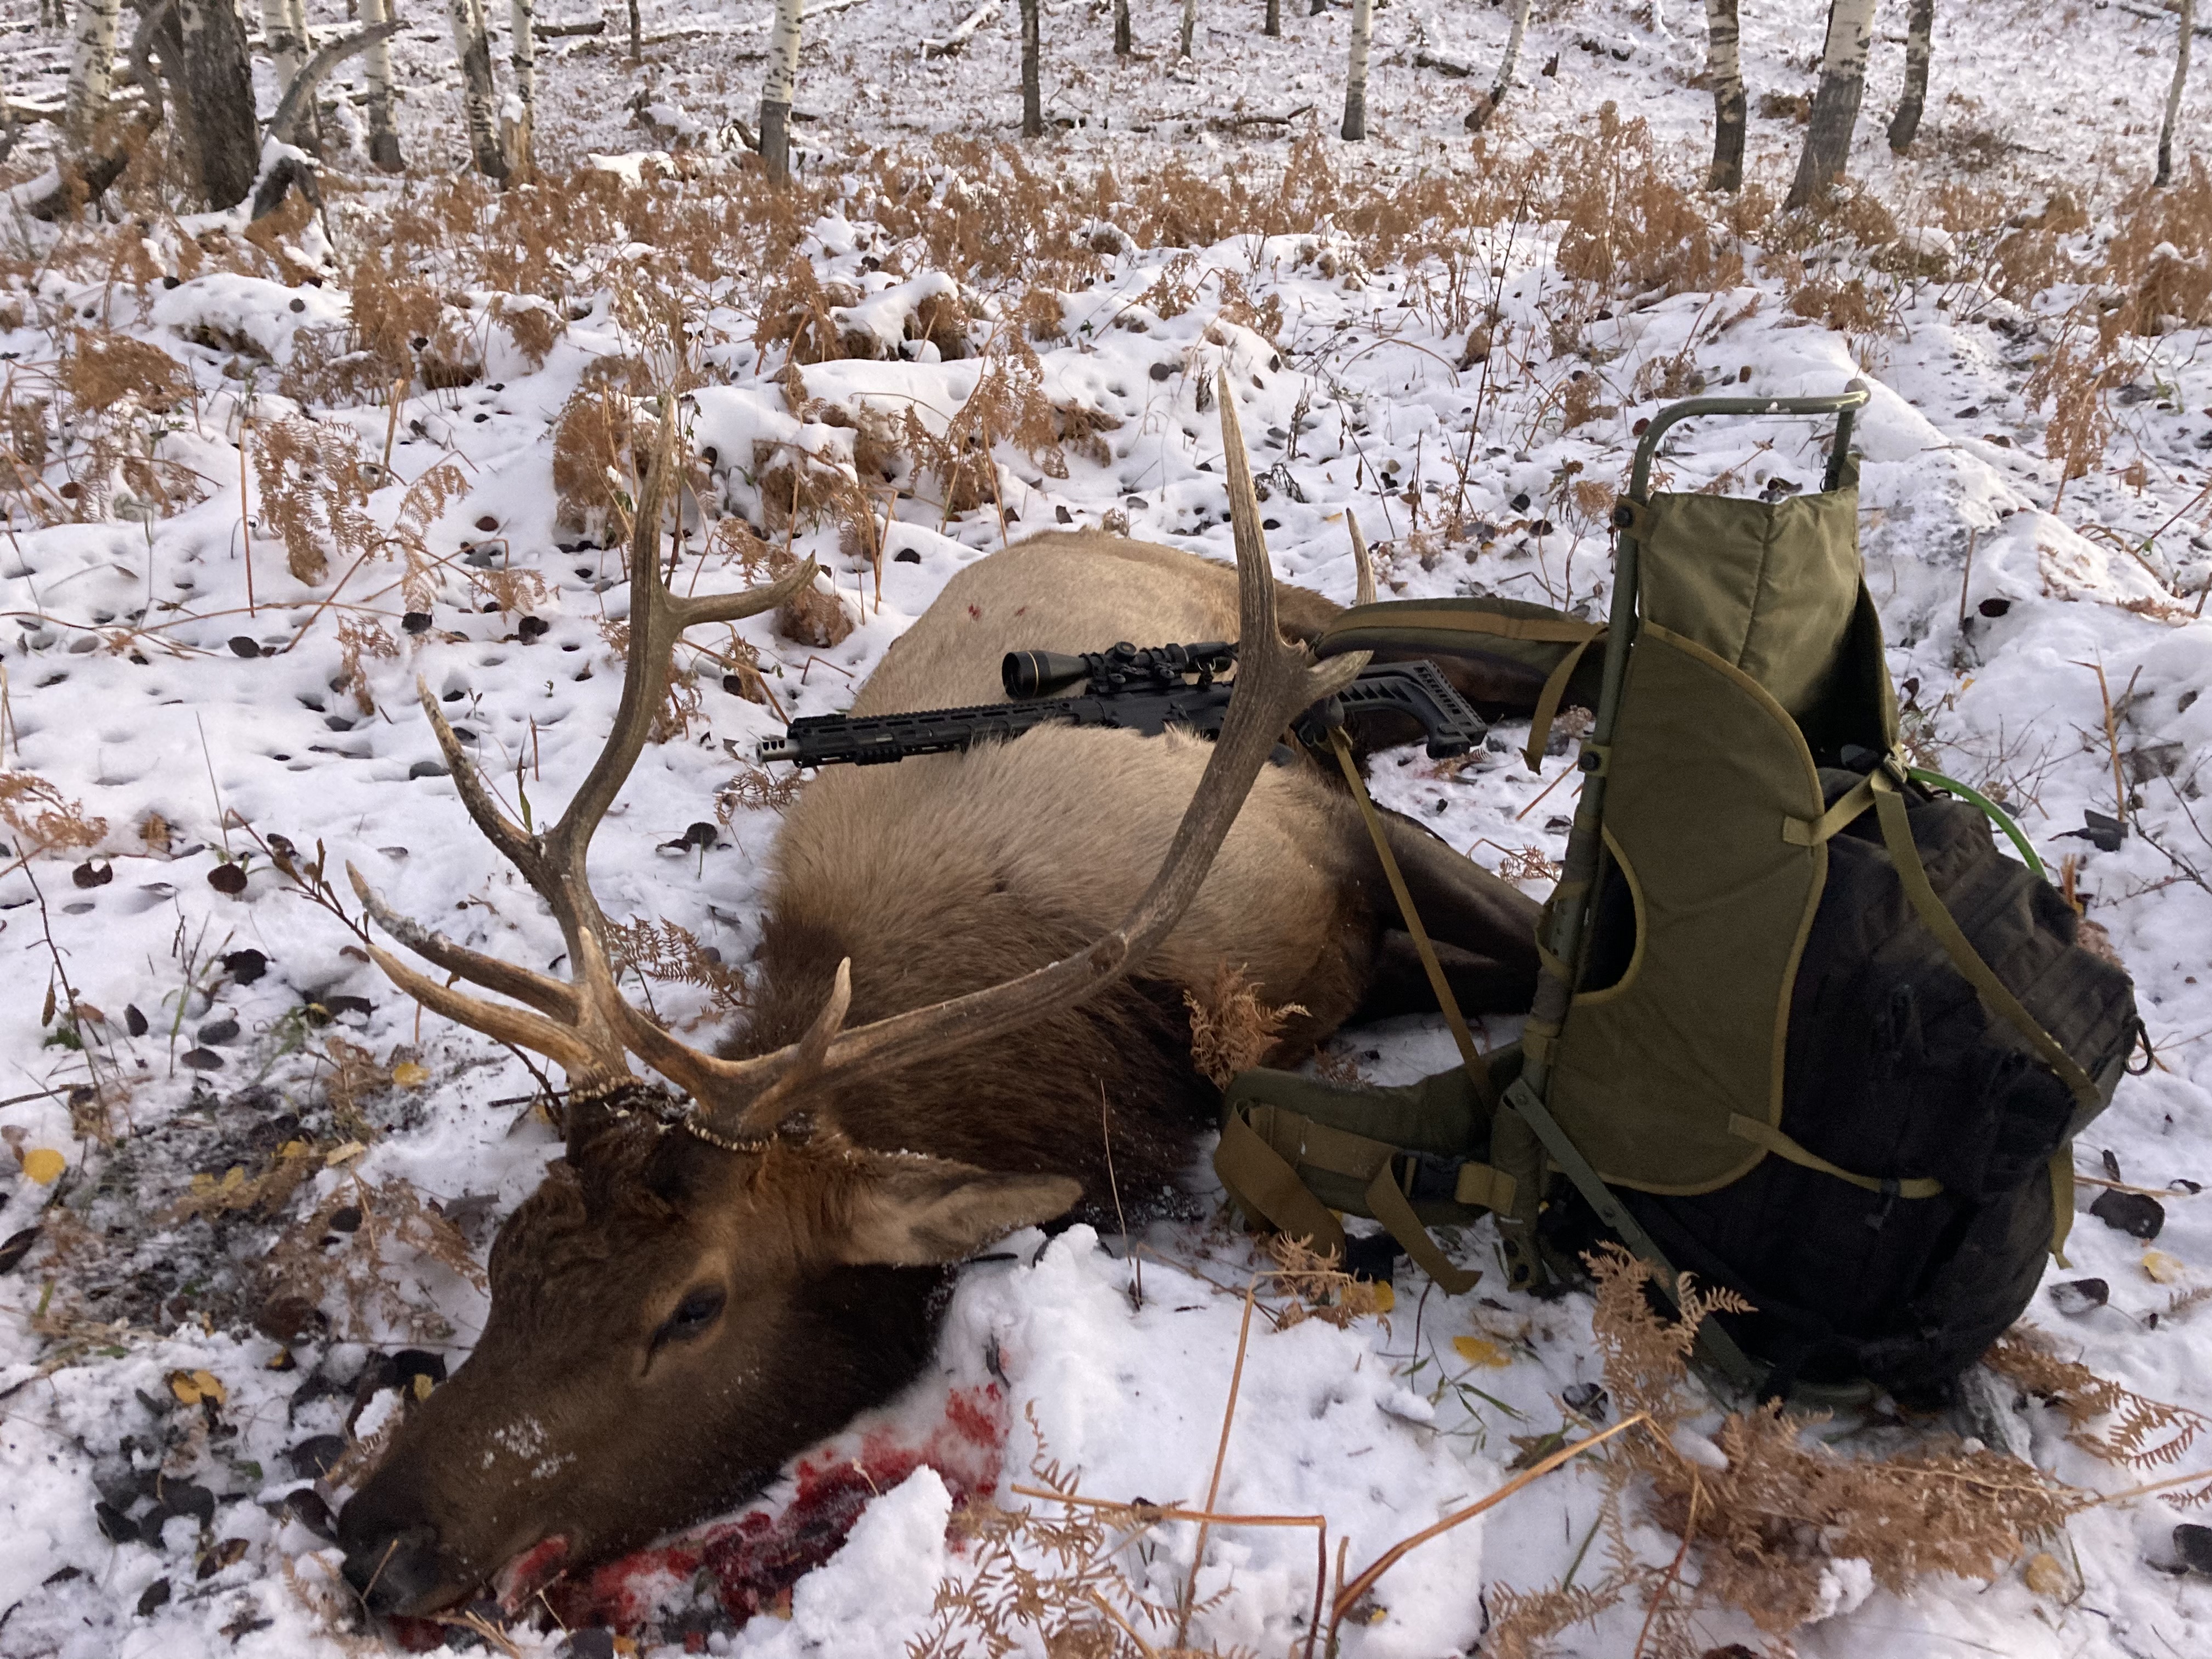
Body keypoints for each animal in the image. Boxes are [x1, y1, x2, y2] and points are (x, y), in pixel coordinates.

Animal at [334, 377, 1542, 1617]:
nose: (371, 1540)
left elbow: (1541, 943)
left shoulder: (1330, 836)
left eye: (691, 1307)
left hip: (1284, 625)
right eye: (505, 1261)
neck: (1109, 1037)